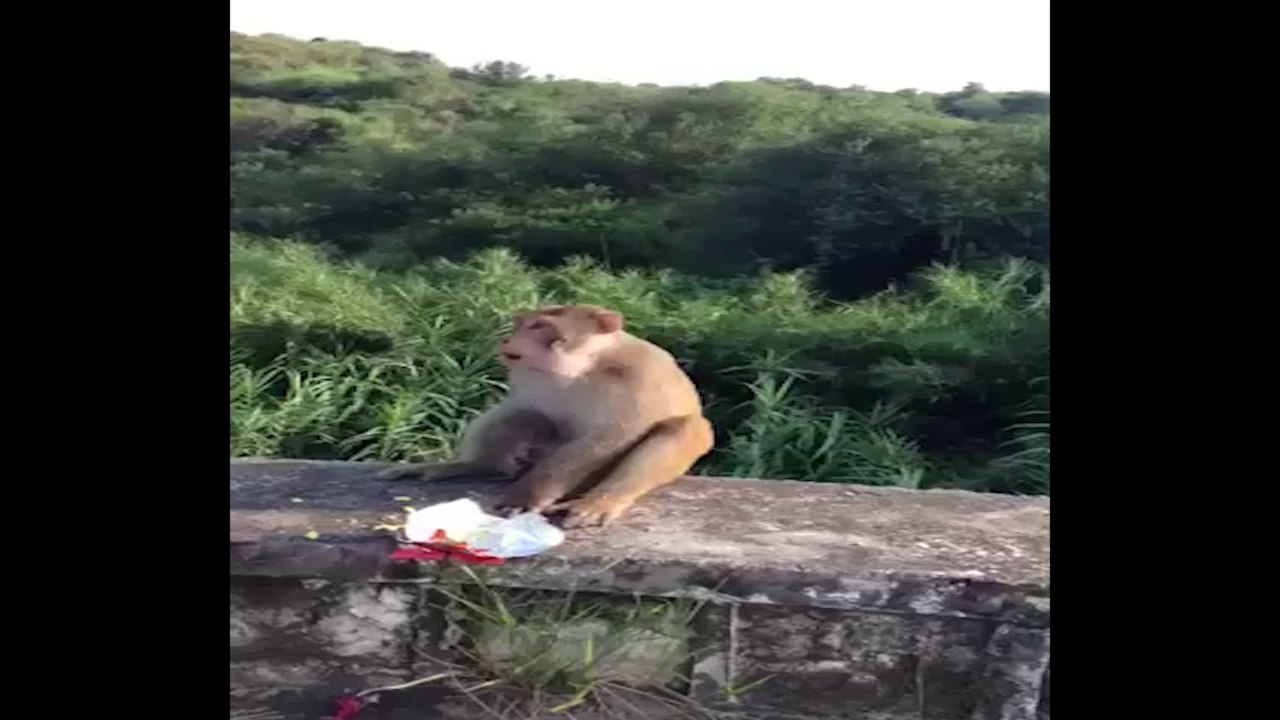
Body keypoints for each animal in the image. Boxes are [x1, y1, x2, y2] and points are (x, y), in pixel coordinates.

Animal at [377, 304, 714, 528]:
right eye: (521, 324)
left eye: (539, 326)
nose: (506, 340)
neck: (583, 365)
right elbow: (526, 409)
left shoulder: (637, 375)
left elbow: (610, 437)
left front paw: (528, 496)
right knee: (519, 415)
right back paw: (475, 465)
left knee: (685, 428)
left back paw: (601, 500)